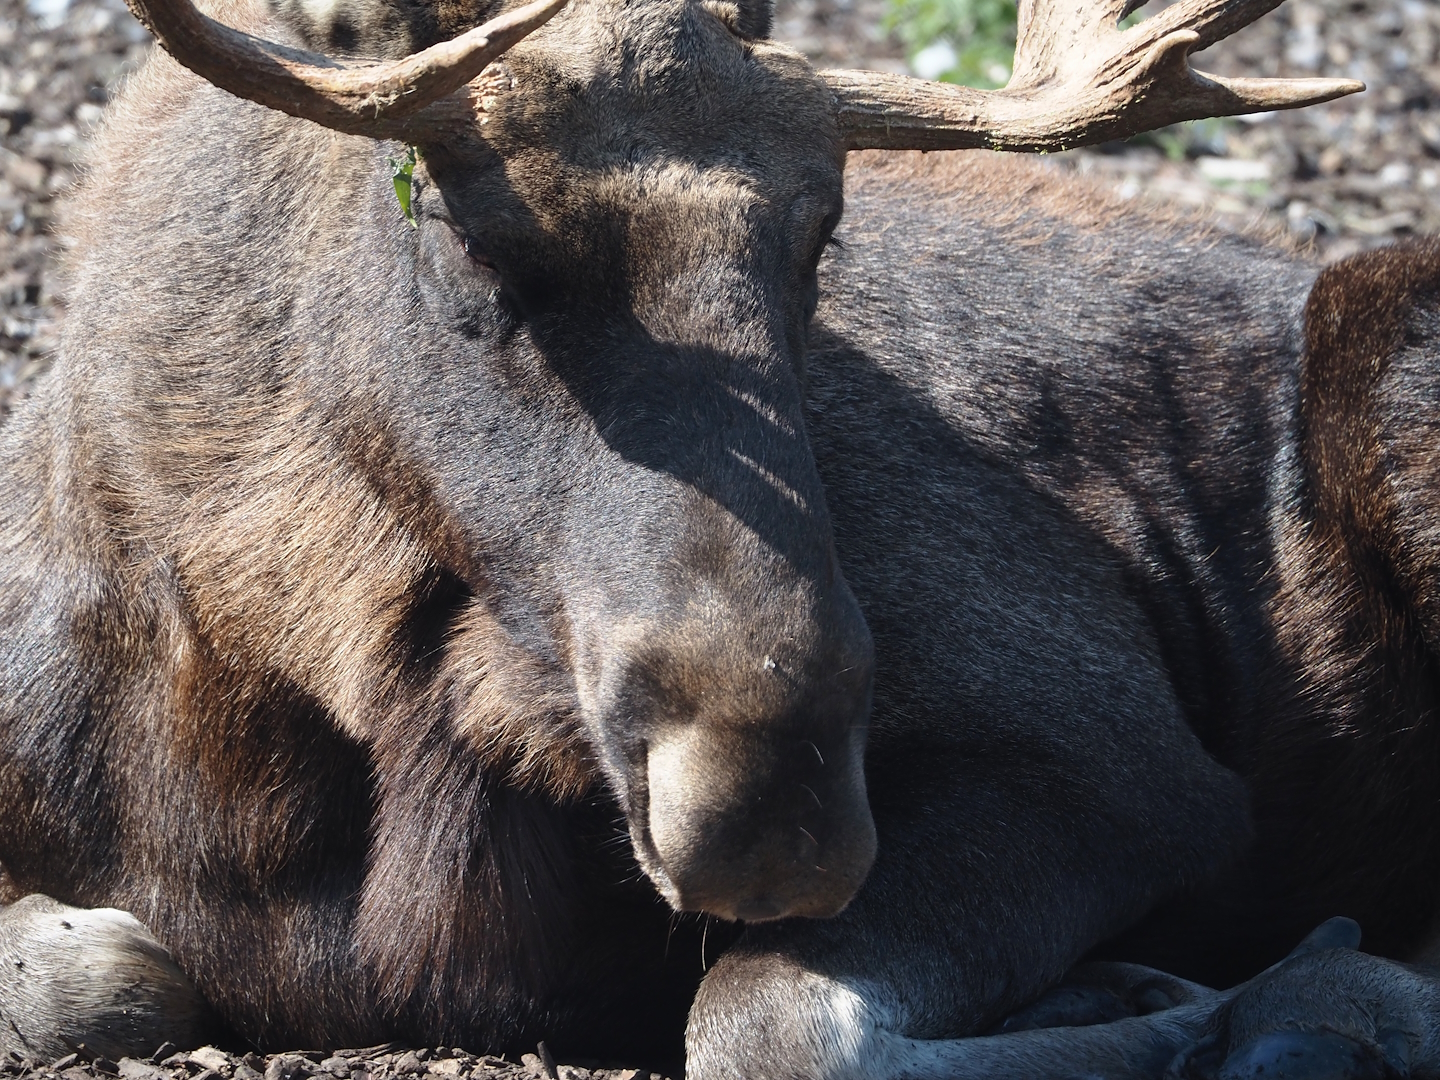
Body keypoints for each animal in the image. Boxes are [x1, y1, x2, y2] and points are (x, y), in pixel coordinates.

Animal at [2, 0, 1436, 1073]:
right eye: (473, 242)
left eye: (822, 235)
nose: (775, 811)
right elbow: (86, 973)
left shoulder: (1128, 769)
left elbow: (766, 1021)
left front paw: (1188, 1000)